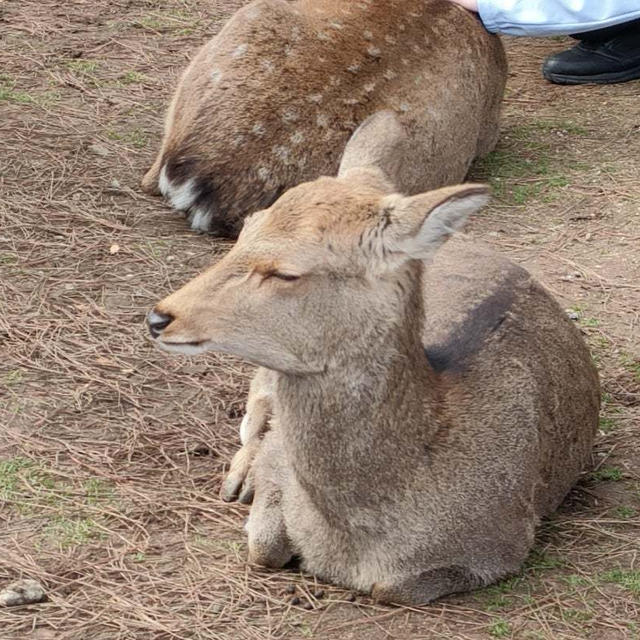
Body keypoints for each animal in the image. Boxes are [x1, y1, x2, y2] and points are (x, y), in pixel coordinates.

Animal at [146, 117, 600, 604]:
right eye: (247, 227)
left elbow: (390, 588)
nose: (160, 317)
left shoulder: (501, 544)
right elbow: (264, 546)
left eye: (286, 272)